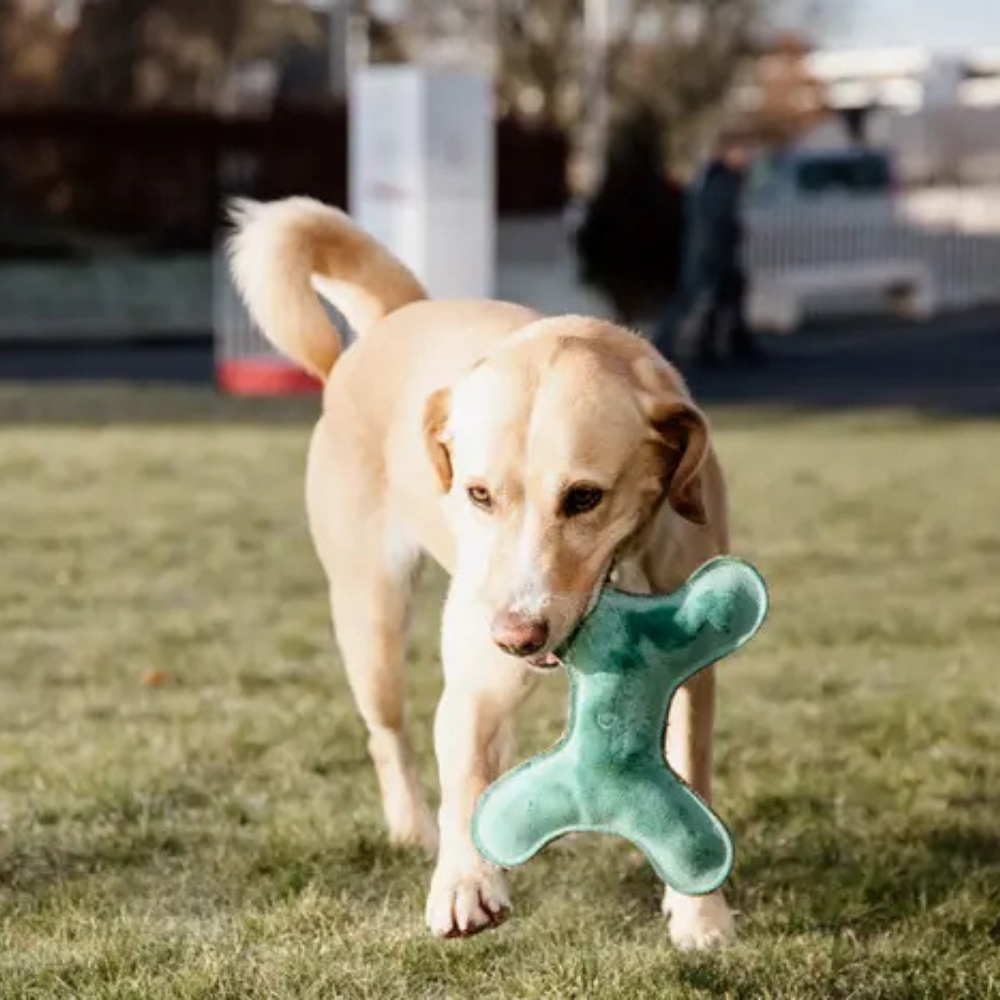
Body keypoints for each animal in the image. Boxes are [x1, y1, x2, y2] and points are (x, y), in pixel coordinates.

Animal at [230, 193, 740, 944]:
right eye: (478, 495)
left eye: (584, 498)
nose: (517, 635)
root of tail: (399, 314)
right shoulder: (475, 675)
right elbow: (463, 769)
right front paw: (464, 882)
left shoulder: (690, 678)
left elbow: (690, 775)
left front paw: (700, 917)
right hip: (372, 618)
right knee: (391, 735)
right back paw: (415, 830)